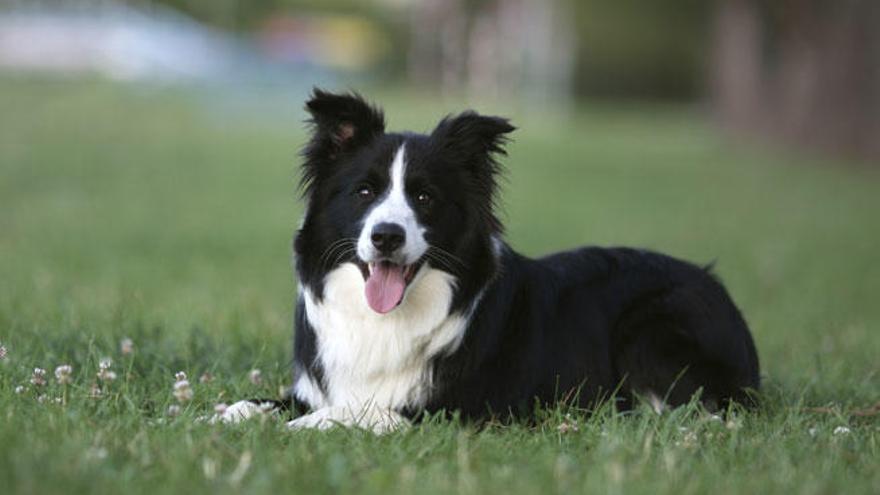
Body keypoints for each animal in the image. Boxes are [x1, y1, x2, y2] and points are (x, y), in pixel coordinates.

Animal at [217, 90, 760, 434]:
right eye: (365, 192)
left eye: (425, 197)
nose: (387, 236)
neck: (389, 319)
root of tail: (716, 287)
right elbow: (259, 402)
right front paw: (221, 416)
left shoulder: (456, 409)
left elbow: (355, 413)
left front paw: (298, 427)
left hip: (651, 327)